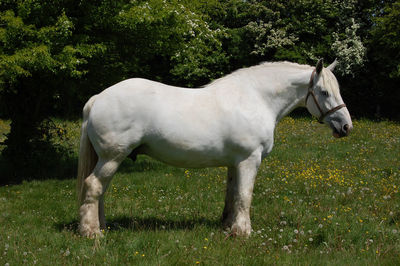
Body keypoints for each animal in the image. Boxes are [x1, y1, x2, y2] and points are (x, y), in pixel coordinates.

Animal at [76, 58, 352, 237]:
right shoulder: (249, 160)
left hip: (109, 159)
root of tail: (98, 98)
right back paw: (92, 232)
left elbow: (232, 195)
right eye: (324, 92)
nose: (346, 126)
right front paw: (243, 232)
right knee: (93, 186)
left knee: (100, 191)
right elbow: (245, 195)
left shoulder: (235, 163)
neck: (256, 99)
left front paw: (229, 227)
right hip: (112, 157)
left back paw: (101, 226)